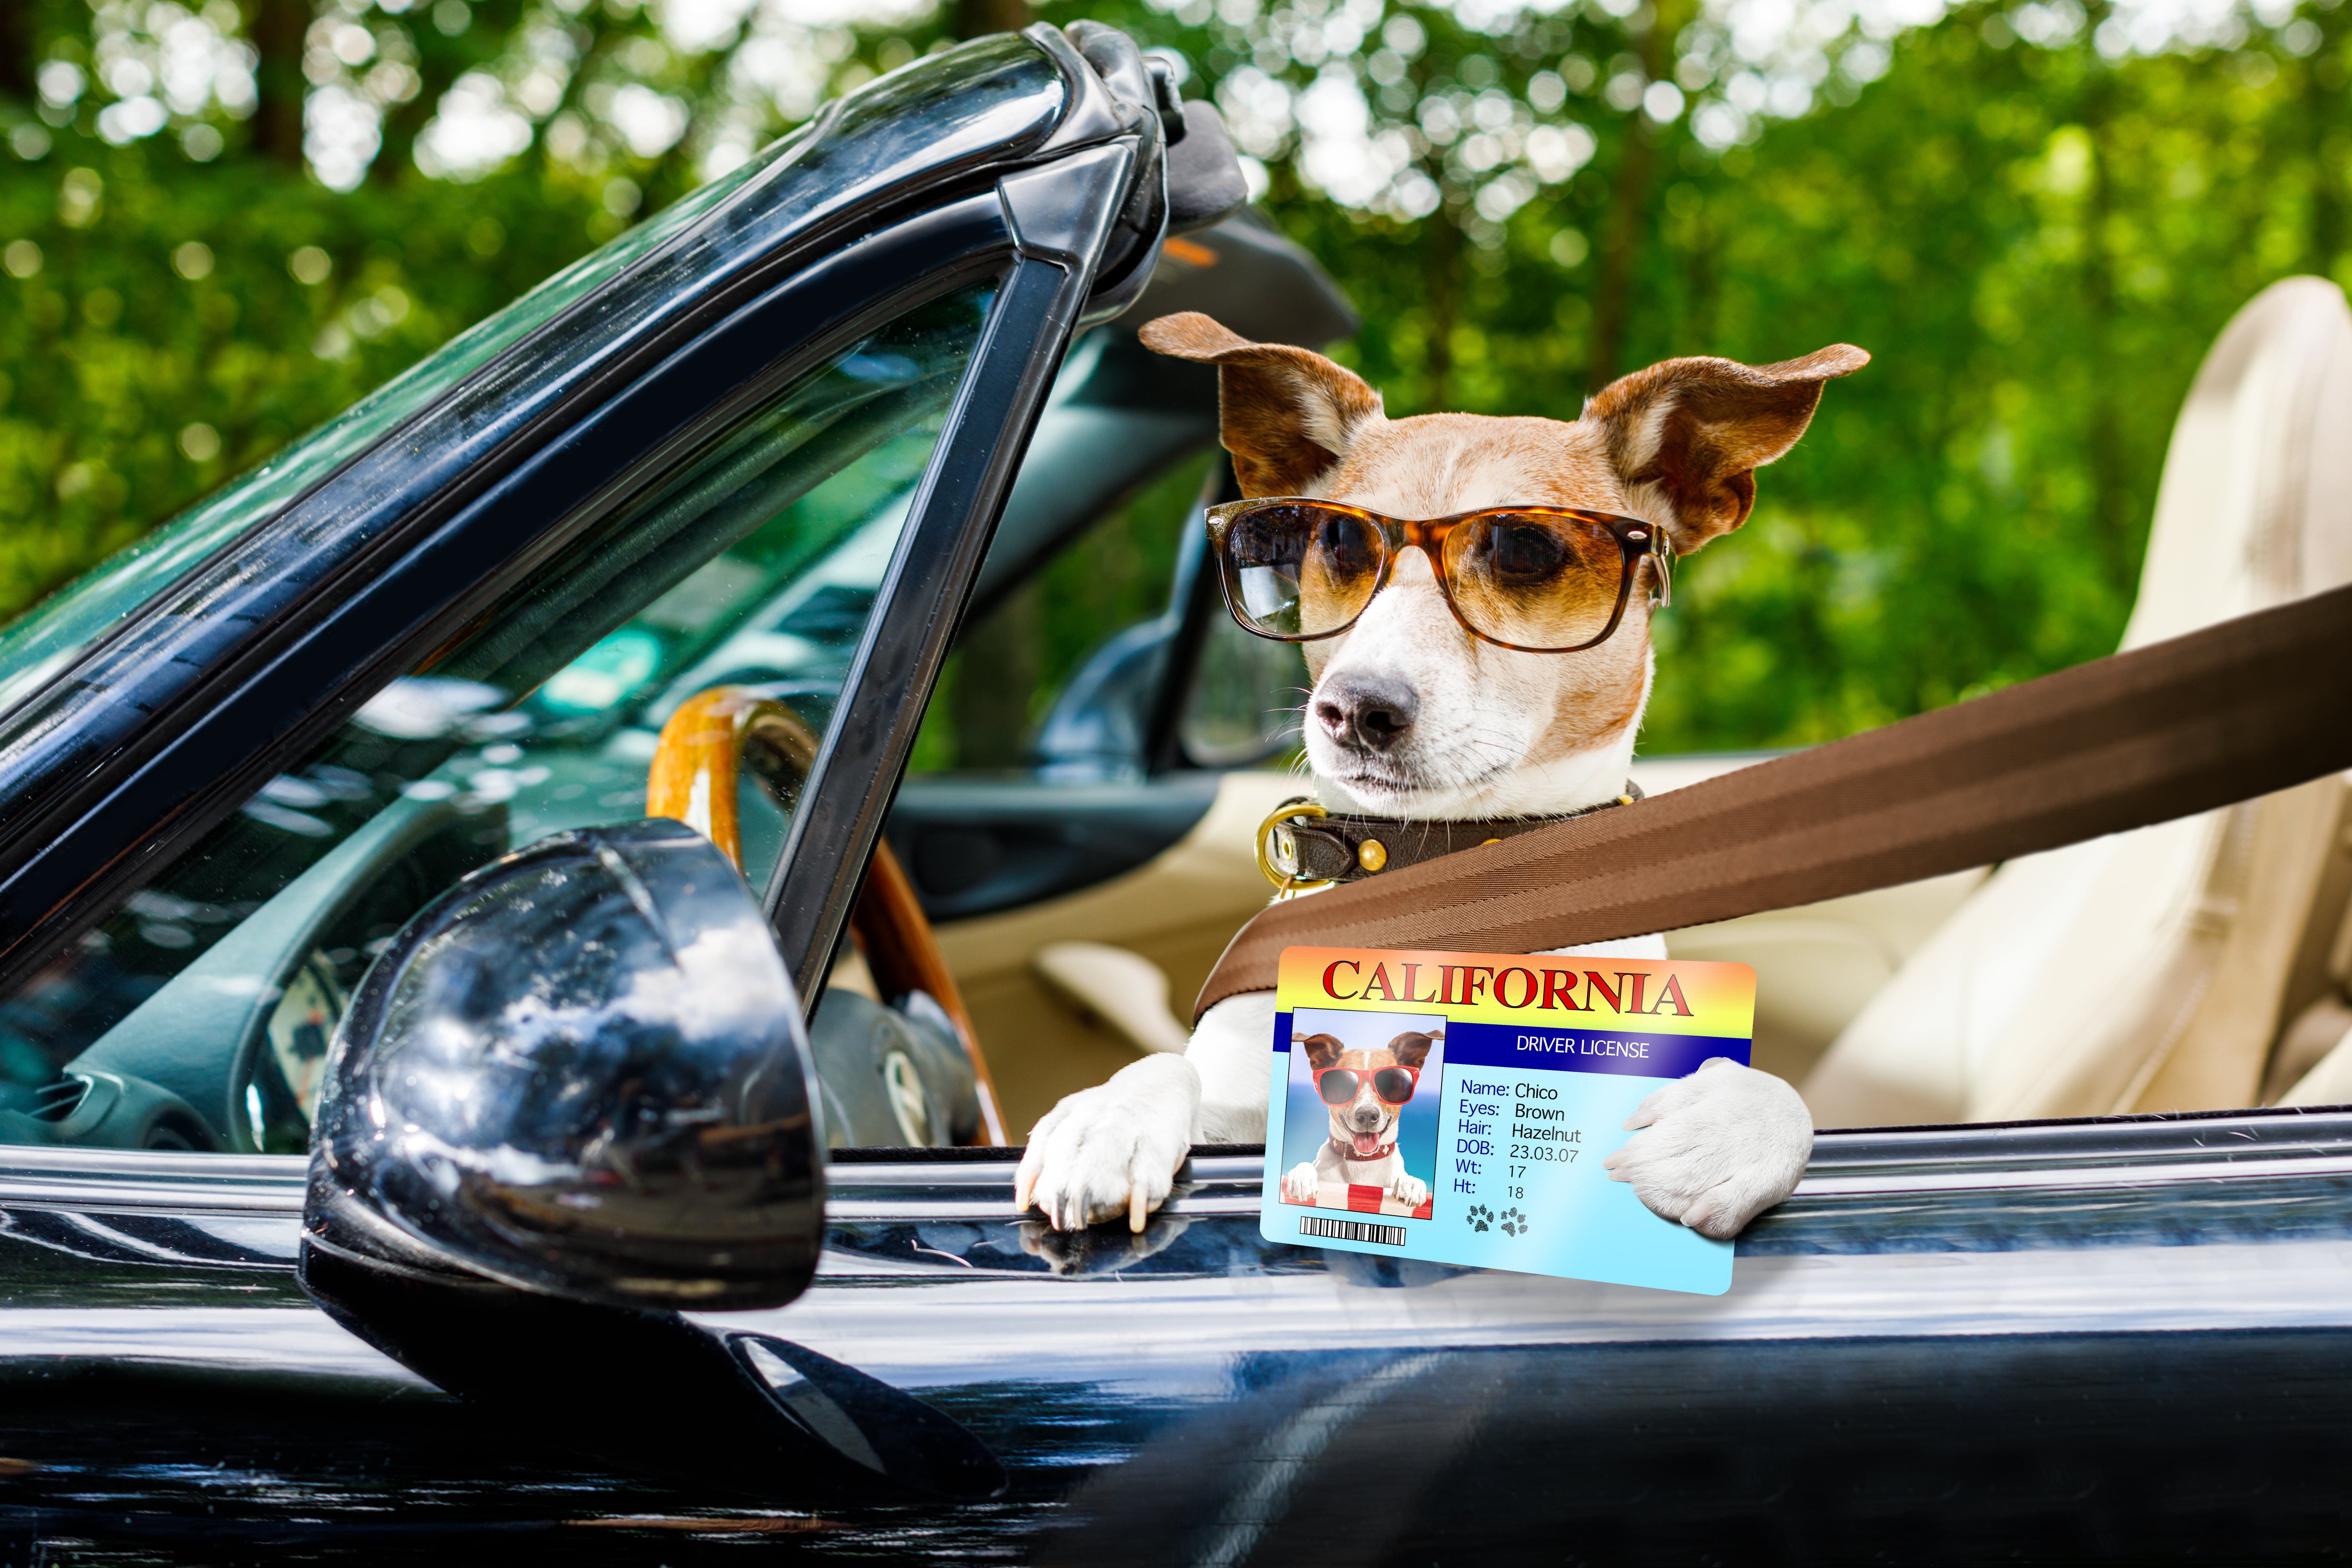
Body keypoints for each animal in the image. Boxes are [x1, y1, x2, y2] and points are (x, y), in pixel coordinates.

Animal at [1289, 1029, 1430, 1213]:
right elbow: (1306, 1165)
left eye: (1389, 1082)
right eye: (1343, 1083)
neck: (1363, 1162)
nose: (1368, 1115)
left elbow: (1409, 1179)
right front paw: (1301, 1176)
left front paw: (1411, 1184)